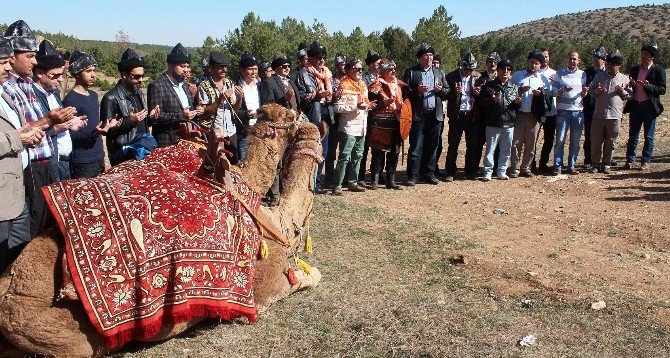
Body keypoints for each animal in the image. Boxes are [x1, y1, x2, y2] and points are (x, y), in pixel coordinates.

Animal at [0, 103, 322, 356]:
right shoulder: (267, 289)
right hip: (67, 336)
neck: (279, 221)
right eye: (291, 118)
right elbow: (310, 277)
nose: (311, 125)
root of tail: (9, 293)